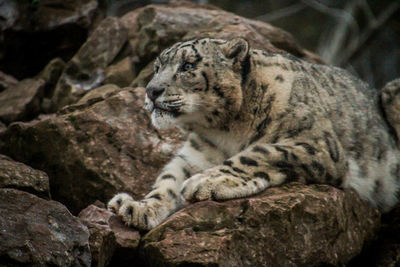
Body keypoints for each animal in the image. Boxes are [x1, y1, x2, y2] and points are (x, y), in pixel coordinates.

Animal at [107, 37, 400, 230]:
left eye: (188, 66)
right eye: (157, 67)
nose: (151, 91)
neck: (226, 129)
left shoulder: (316, 144)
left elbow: (258, 153)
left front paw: (208, 181)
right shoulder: (195, 155)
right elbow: (168, 179)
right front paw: (137, 207)